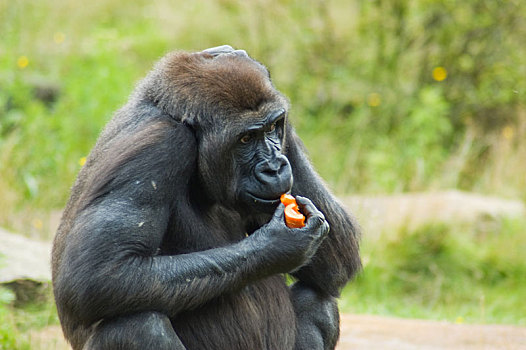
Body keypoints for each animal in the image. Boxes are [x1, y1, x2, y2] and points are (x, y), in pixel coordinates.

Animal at [51, 46, 360, 350]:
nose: (275, 167)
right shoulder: (159, 147)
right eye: (246, 139)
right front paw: (278, 245)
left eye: (273, 127)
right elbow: (99, 276)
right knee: (137, 325)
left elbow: (336, 267)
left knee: (317, 297)